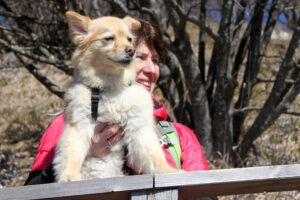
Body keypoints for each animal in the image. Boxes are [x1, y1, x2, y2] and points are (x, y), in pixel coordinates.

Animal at [53, 11, 178, 182]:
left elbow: (155, 156)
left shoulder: (138, 128)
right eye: (109, 38)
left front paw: (168, 171)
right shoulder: (79, 123)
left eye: (130, 39)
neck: (110, 86)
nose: (131, 50)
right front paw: (70, 176)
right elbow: (72, 154)